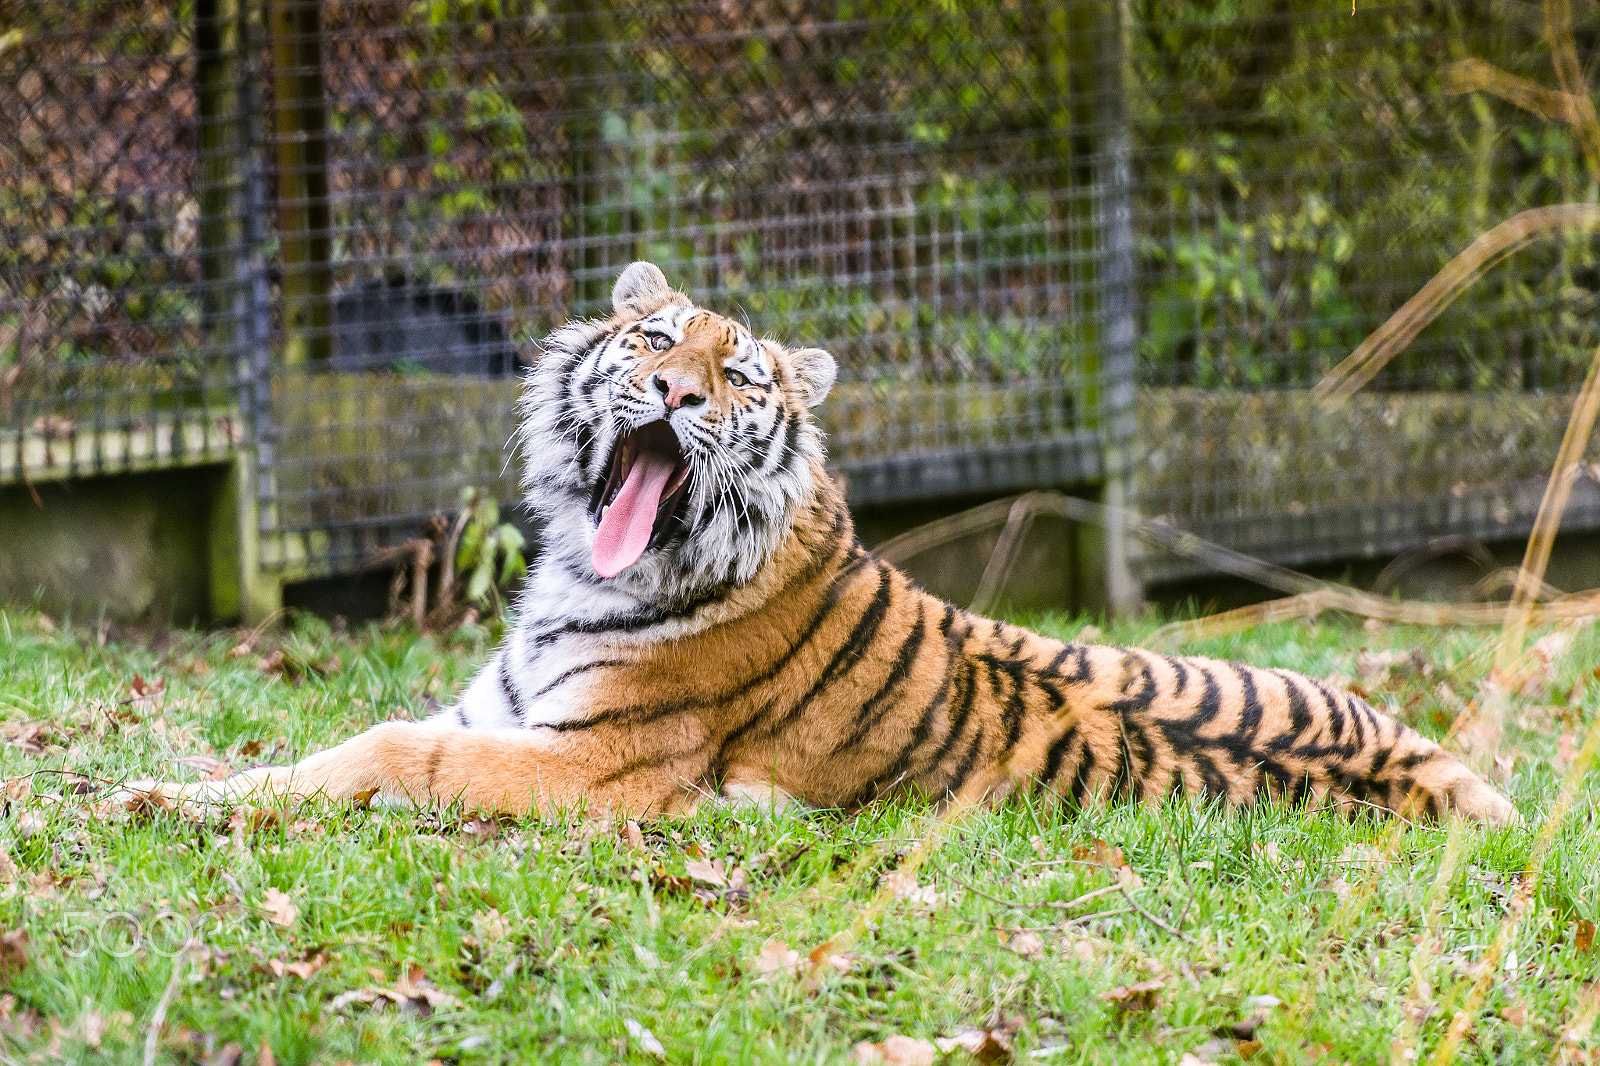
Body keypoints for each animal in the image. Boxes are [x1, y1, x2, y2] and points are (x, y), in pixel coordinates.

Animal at [128, 261, 1515, 825]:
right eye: (654, 341)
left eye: (735, 376)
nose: (674, 393)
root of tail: (1438, 770)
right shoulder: (502, 710)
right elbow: (326, 751)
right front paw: (167, 790)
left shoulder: (598, 767)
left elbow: (388, 749)